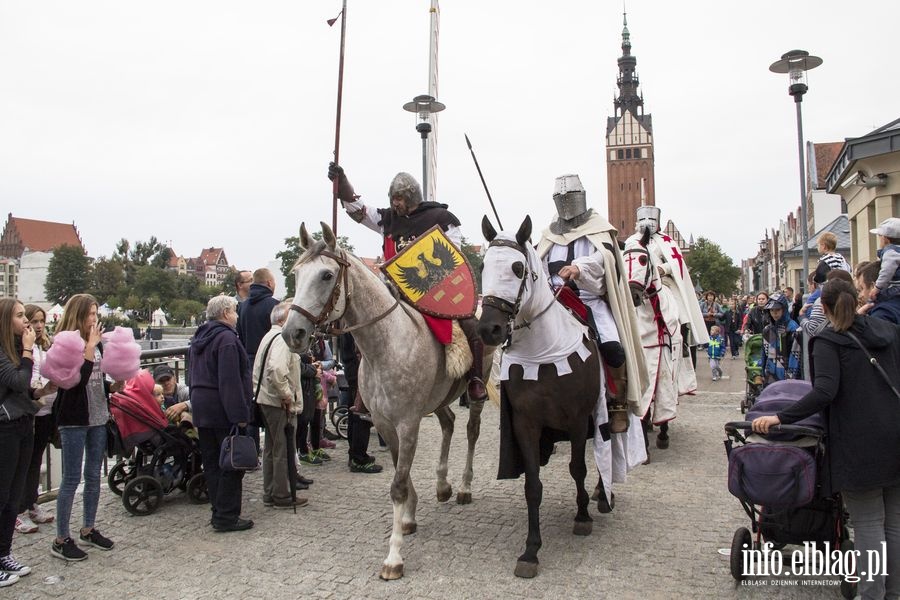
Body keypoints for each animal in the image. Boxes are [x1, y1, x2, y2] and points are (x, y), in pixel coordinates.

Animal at [280, 223, 492, 580]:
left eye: (326, 275)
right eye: (296, 274)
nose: (291, 333)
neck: (386, 345)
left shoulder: (407, 424)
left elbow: (397, 485)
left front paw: (393, 557)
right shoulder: (385, 423)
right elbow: (399, 474)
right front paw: (408, 517)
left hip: (477, 388)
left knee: (471, 430)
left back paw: (463, 486)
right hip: (438, 400)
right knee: (448, 424)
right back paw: (442, 484)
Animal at [478, 216, 596, 576]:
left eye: (518, 268)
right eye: (482, 265)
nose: (488, 330)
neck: (544, 352)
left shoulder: (578, 420)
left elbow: (578, 468)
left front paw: (583, 516)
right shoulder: (525, 425)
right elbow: (532, 486)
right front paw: (531, 550)